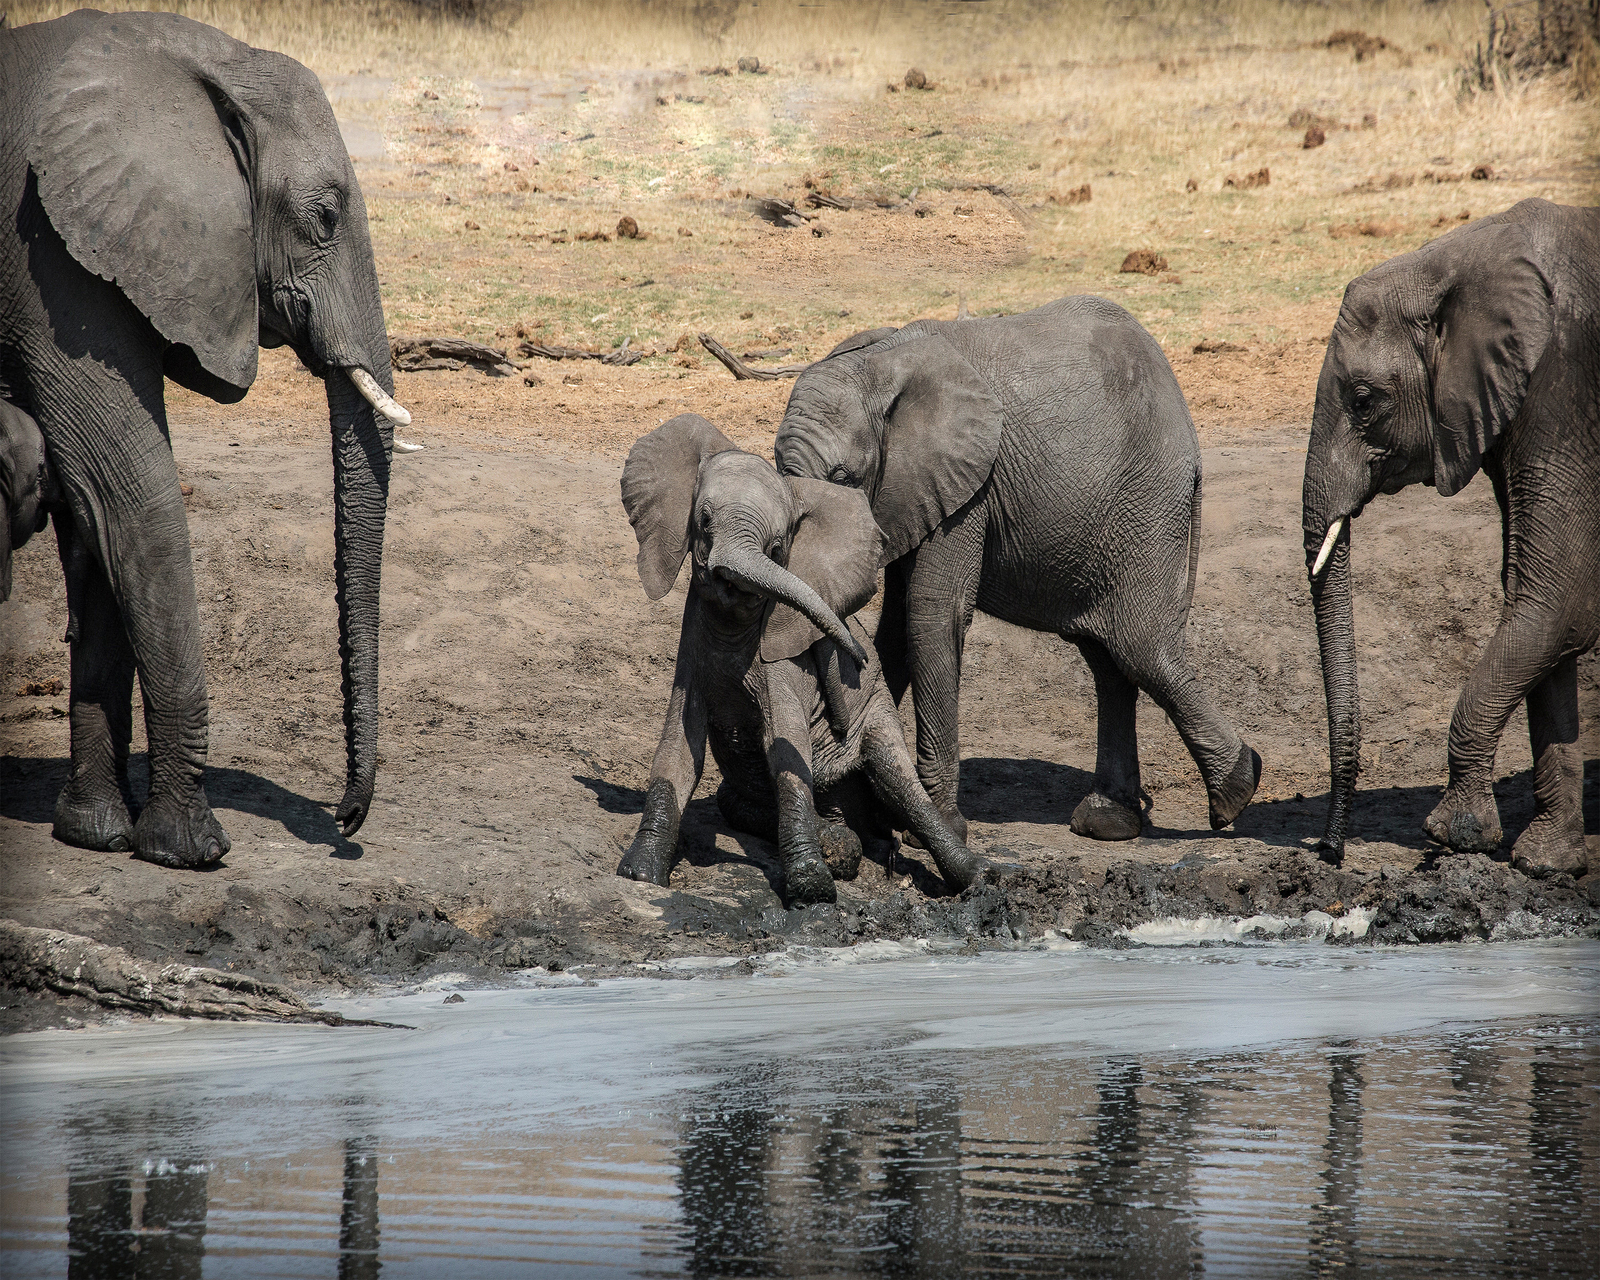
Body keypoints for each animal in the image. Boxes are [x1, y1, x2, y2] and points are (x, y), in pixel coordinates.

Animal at [1, 12, 412, 867]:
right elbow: (132, 491)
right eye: (326, 217)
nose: (347, 821)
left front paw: (97, 835)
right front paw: (190, 851)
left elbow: (94, 514)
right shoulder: (46, 254)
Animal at [616, 414, 991, 907]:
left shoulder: (784, 667)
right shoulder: (690, 657)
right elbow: (677, 750)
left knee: (900, 783)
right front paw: (639, 874)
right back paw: (841, 838)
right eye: (703, 520)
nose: (859, 655)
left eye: (778, 548)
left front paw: (811, 892)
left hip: (875, 709)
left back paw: (976, 877)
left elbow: (786, 747)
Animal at [774, 296, 1261, 844]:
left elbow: (931, 615)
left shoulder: (967, 488)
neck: (877, 364)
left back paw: (1236, 790)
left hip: (1148, 504)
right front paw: (887, 816)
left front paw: (935, 827)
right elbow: (895, 629)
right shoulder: (910, 494)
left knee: (1140, 648)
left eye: (842, 477)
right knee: (1108, 661)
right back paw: (1109, 822)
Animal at [1303, 198, 1599, 875]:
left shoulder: (1561, 385)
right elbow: (1538, 601)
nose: (1329, 851)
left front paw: (1452, 835)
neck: (1446, 267)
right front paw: (1546, 863)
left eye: (1364, 401)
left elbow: (1559, 599)